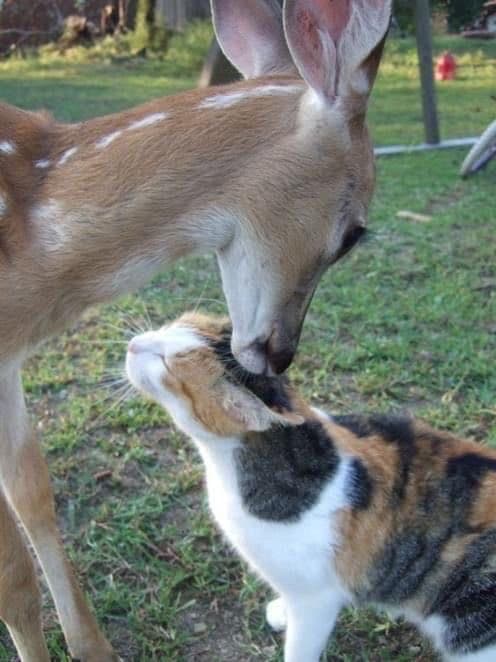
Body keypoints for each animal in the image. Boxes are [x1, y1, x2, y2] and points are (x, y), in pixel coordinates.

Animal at [0, 0, 391, 659]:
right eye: (353, 234)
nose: (280, 354)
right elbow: (10, 570)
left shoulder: (7, 367)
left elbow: (35, 499)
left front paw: (94, 648)